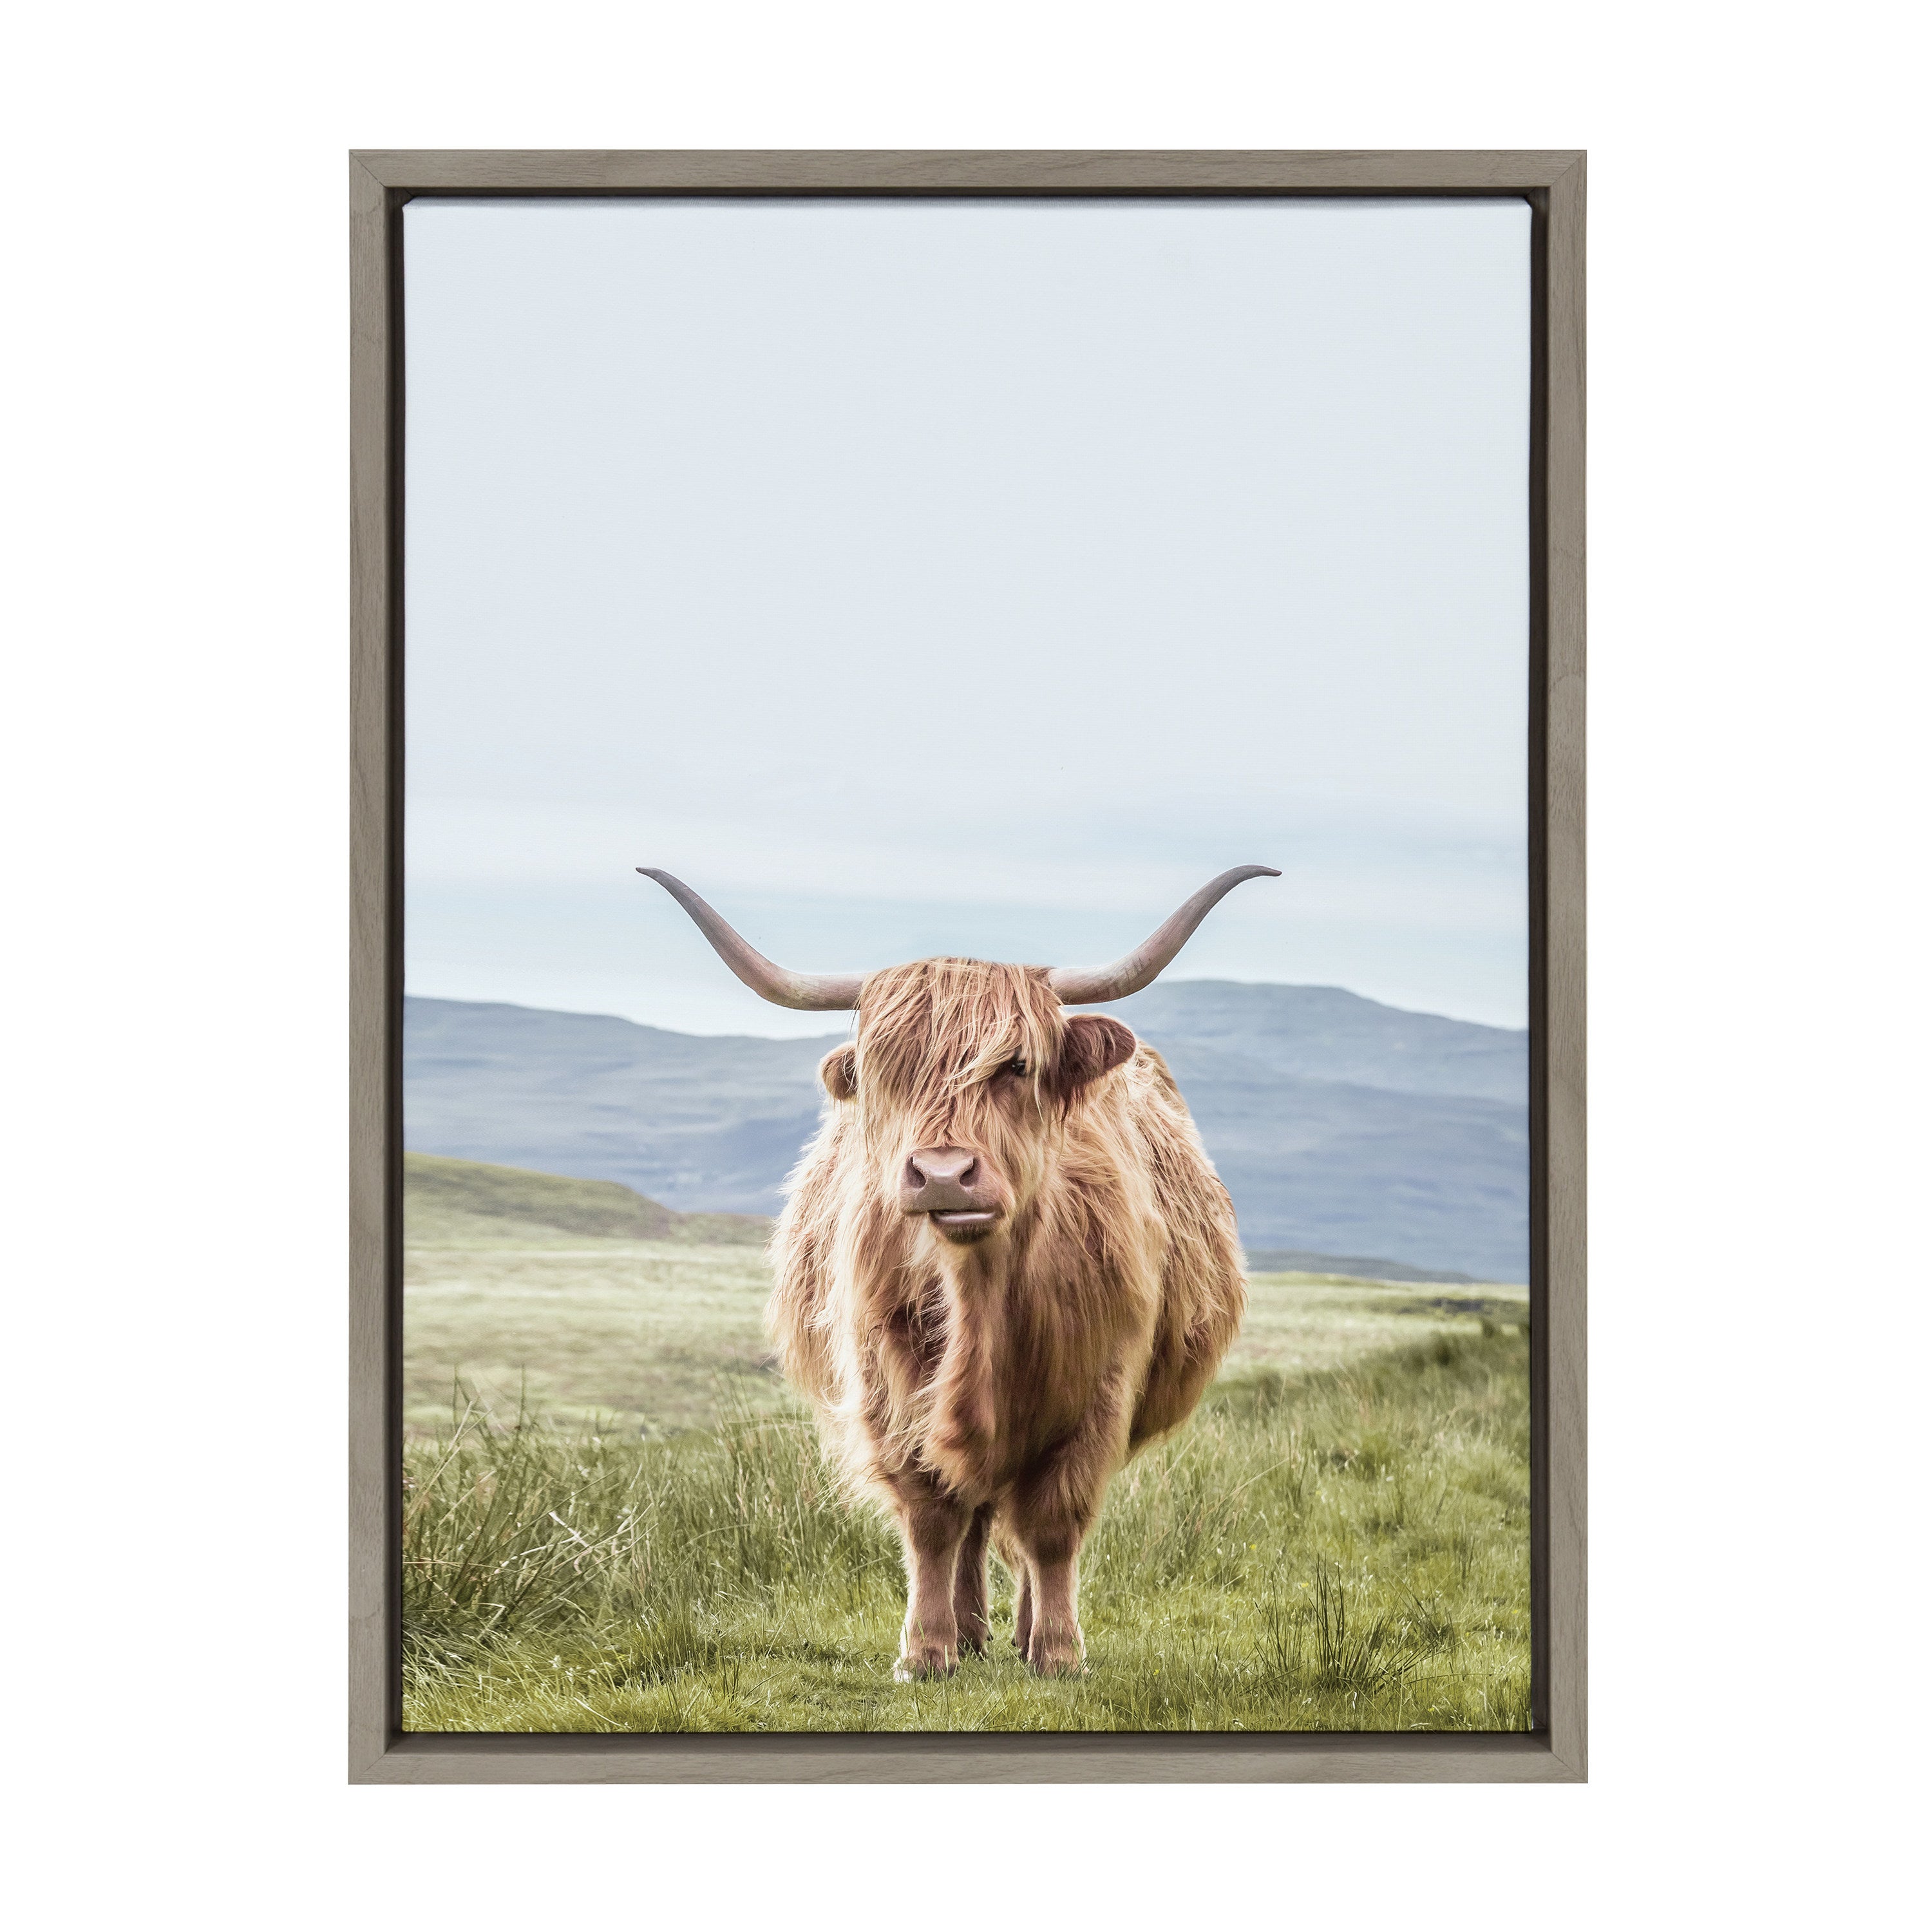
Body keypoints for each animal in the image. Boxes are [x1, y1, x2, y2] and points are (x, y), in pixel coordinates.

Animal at [637, 865, 1277, 1679]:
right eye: (887, 1072)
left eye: (1017, 1066)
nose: (943, 1175)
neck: (980, 1297)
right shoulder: (888, 1385)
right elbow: (933, 1516)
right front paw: (926, 1650)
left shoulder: (1099, 1391)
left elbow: (1053, 1524)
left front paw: (1059, 1652)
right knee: (972, 1513)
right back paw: (970, 1631)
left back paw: (1024, 1631)